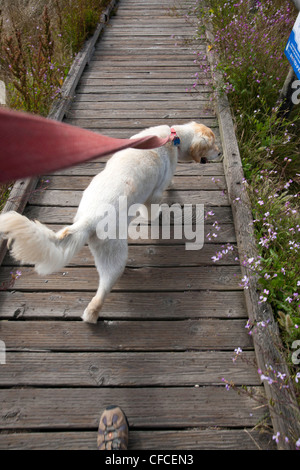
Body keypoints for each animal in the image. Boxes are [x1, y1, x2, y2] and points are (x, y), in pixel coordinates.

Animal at [0, 122, 220, 324]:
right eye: (213, 144)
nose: (220, 153)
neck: (174, 137)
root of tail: (89, 219)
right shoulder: (154, 195)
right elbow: (154, 207)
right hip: (116, 257)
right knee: (100, 294)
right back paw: (92, 316)